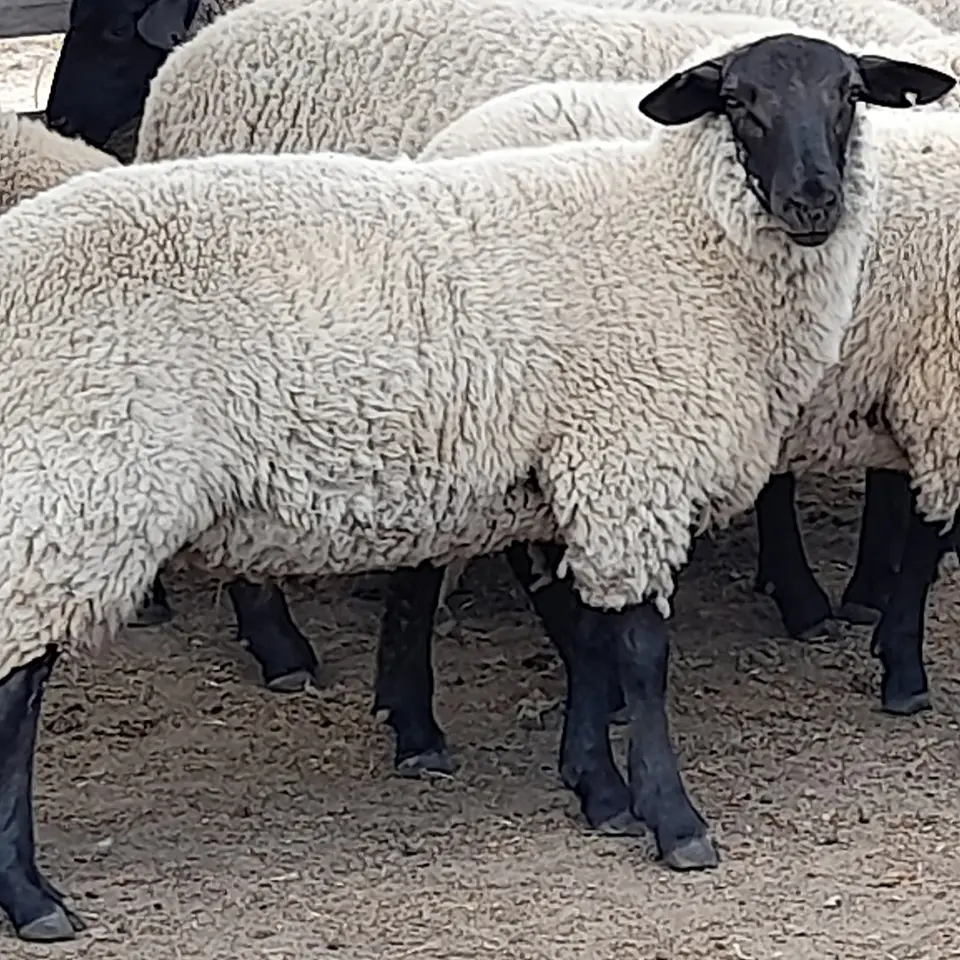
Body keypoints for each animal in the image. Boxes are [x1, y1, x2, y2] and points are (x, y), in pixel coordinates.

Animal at [3, 30, 943, 943]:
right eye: (739, 101)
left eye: (849, 96)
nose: (814, 202)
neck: (681, 236)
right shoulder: (628, 464)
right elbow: (640, 655)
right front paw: (674, 821)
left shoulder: (576, 477)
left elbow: (588, 641)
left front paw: (598, 790)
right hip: (79, 490)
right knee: (18, 689)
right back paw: (35, 900)